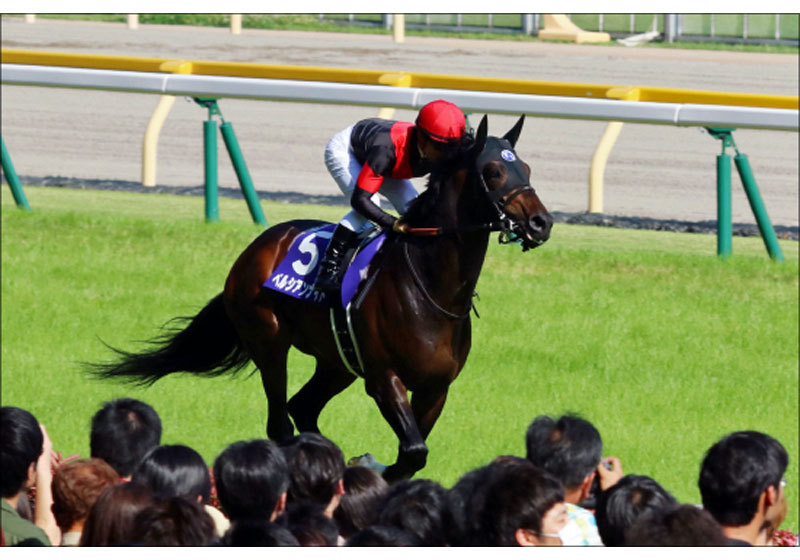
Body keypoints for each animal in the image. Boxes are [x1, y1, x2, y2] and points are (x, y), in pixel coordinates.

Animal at [90, 114, 553, 482]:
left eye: (527, 167)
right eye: (492, 171)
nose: (541, 223)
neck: (431, 288)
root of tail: (257, 246)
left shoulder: (435, 389)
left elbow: (412, 455)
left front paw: (366, 468)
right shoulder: (383, 378)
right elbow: (412, 451)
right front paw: (367, 465)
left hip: (336, 361)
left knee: (303, 407)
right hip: (269, 341)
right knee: (280, 420)